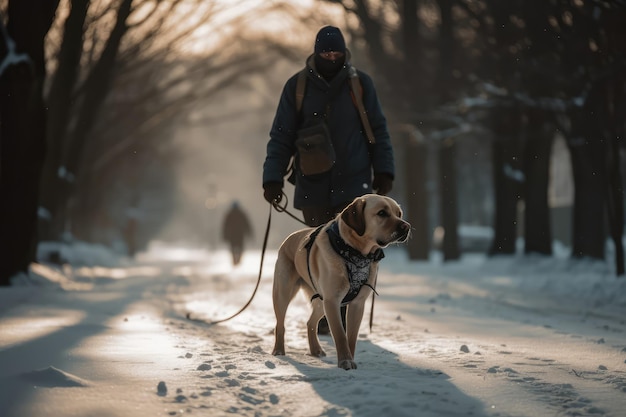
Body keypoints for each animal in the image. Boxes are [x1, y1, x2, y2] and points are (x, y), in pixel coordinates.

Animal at [270, 192, 410, 368]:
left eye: (399, 214)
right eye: (382, 213)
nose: (407, 227)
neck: (354, 253)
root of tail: (288, 238)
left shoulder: (357, 304)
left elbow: (351, 337)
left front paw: (350, 359)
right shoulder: (333, 300)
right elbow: (340, 335)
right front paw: (345, 362)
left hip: (321, 301)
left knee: (310, 323)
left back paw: (316, 350)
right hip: (283, 293)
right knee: (280, 324)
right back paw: (278, 350)